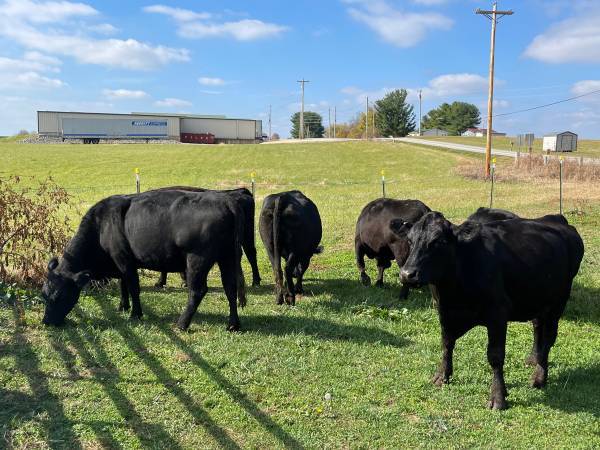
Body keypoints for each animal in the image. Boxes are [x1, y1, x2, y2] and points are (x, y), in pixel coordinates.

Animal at [42, 190, 246, 330]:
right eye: (43, 295)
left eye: (59, 296)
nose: (46, 322)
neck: (101, 226)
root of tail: (224, 200)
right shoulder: (119, 264)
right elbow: (123, 285)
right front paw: (123, 307)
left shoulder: (124, 260)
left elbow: (133, 287)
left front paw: (135, 314)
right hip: (227, 257)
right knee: (230, 287)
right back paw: (233, 324)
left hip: (197, 260)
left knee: (198, 291)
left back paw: (181, 324)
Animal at [396, 211, 584, 408]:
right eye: (410, 241)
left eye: (439, 241)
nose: (407, 274)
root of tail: (556, 219)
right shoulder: (444, 311)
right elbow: (447, 343)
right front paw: (442, 375)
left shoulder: (497, 315)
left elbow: (495, 356)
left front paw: (498, 396)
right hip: (537, 299)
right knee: (537, 327)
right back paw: (534, 358)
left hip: (558, 302)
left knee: (548, 338)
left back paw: (539, 377)